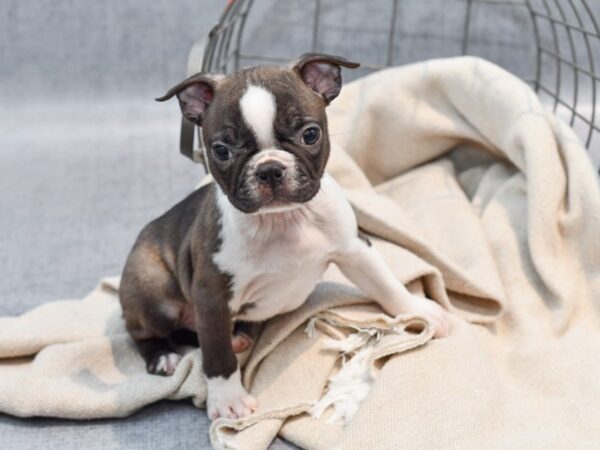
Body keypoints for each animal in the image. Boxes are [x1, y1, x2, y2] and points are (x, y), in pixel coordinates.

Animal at [118, 53, 450, 422]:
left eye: (310, 134)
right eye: (221, 150)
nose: (270, 169)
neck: (282, 220)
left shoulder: (354, 249)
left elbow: (385, 283)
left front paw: (420, 312)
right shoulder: (211, 295)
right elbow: (216, 354)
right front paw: (227, 398)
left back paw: (236, 337)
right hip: (151, 288)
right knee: (142, 329)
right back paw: (163, 355)